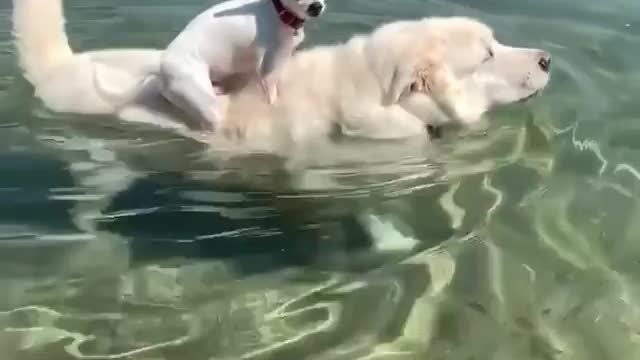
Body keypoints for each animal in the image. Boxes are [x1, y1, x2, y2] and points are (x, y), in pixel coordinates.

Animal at [156, 0, 324, 131]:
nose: (316, 6)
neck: (280, 13)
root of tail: (162, 69)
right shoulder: (267, 70)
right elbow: (272, 96)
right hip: (202, 101)